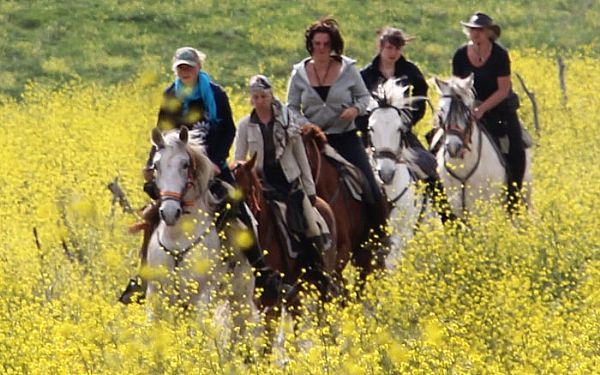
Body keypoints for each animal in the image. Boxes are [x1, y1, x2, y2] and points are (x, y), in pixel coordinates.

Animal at [146, 128, 256, 330]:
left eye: (185, 164)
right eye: (156, 165)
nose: (170, 213)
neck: (177, 238)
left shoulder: (203, 294)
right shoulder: (157, 293)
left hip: (240, 297)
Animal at [432, 75, 536, 219]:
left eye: (468, 114)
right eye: (441, 114)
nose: (454, 148)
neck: (463, 166)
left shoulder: (485, 210)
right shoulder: (456, 210)